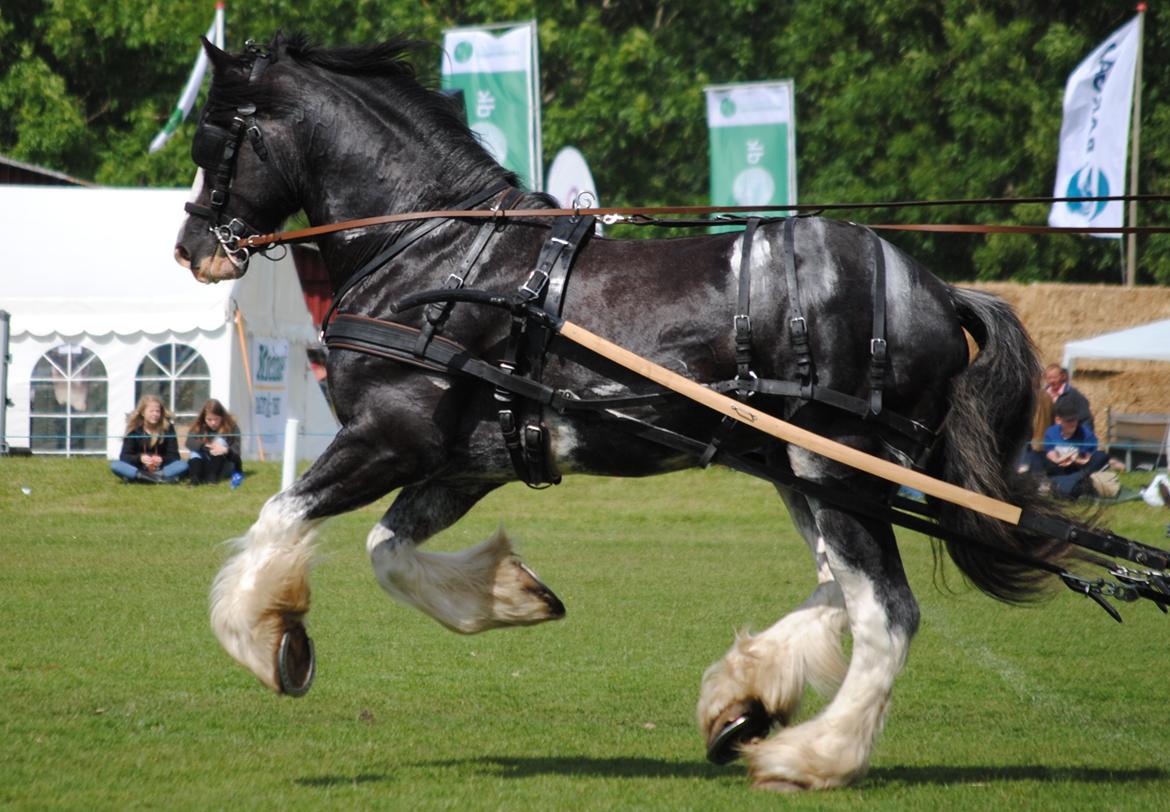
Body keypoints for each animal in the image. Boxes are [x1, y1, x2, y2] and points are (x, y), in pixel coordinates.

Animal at [170, 34, 1071, 790]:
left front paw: (269, 640)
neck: (435, 256)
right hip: (800, 473)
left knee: (886, 612)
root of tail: (939, 292)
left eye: (212, 139)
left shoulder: (391, 437)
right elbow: (389, 551)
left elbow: (281, 515)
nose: (191, 249)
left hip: (840, 468)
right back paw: (742, 699)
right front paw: (511, 594)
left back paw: (813, 756)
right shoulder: (465, 463)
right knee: (838, 587)